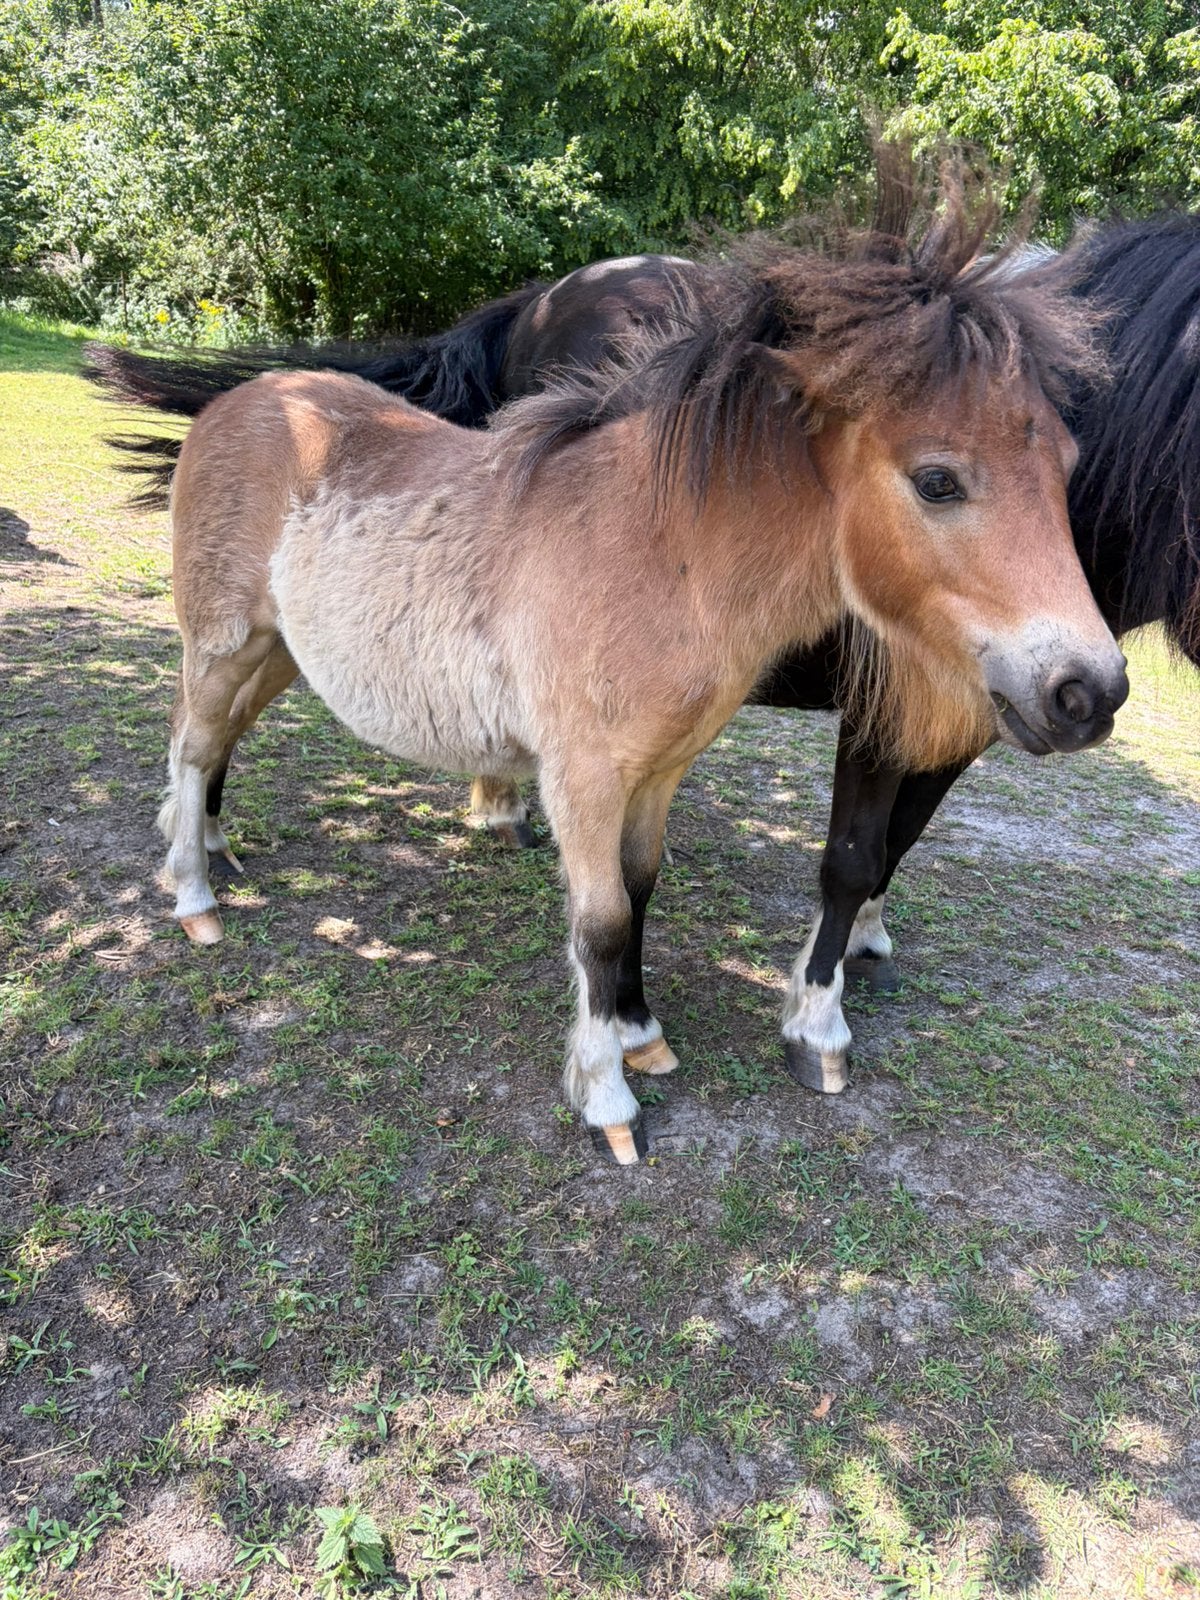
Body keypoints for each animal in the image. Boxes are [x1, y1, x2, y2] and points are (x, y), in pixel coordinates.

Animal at [106, 160, 1128, 1160]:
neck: (657, 554)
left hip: (279, 652)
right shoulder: (584, 776)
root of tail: (243, 402)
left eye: (1070, 461)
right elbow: (598, 922)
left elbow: (640, 890)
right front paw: (607, 1099)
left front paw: (641, 1033)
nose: (1091, 691)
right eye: (938, 480)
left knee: (214, 740)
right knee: (192, 743)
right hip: (223, 639)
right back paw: (192, 895)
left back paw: (206, 847)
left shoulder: (659, 770)